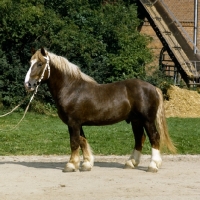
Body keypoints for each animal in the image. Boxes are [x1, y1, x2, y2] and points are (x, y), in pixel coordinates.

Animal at [24, 47, 176, 173]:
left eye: (40, 64)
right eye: (30, 62)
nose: (28, 84)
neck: (71, 89)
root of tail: (153, 87)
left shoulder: (73, 123)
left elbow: (74, 142)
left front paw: (71, 165)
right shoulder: (78, 124)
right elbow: (82, 141)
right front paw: (86, 164)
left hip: (147, 120)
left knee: (154, 137)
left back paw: (153, 165)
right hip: (136, 120)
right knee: (140, 138)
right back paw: (131, 163)